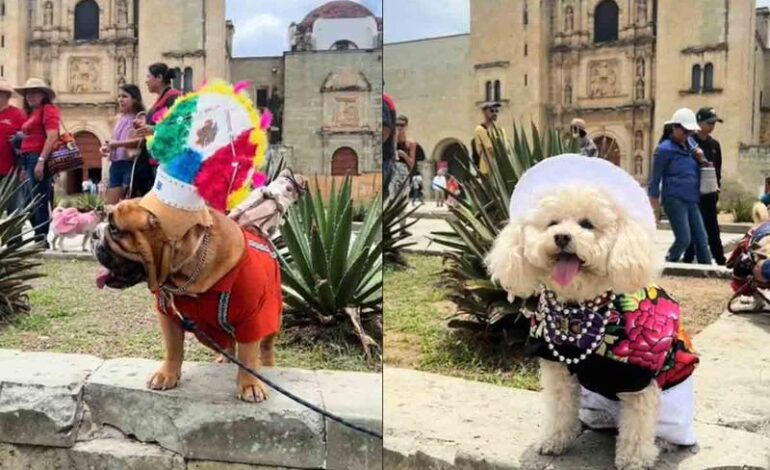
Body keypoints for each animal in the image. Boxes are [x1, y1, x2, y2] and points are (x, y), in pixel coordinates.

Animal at [486, 156, 696, 470]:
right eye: (552, 223)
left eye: (587, 224)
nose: (561, 237)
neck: (581, 307)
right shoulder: (557, 368)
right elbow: (560, 409)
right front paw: (555, 440)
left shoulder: (639, 378)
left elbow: (637, 425)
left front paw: (633, 459)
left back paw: (661, 444)